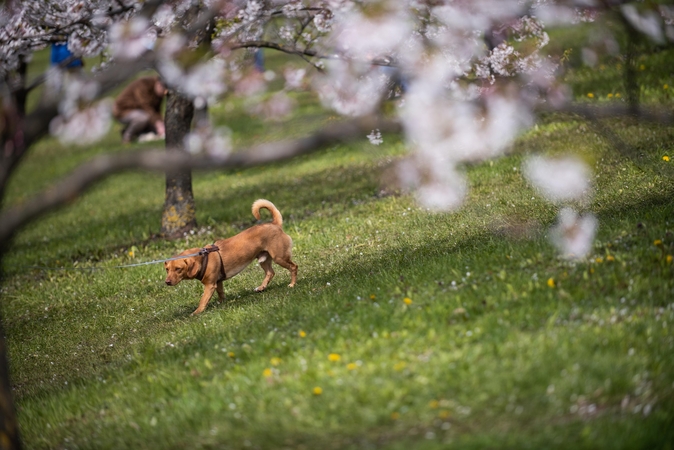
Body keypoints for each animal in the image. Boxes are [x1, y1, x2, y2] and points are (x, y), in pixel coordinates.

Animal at [164, 199, 296, 314]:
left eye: (178, 269)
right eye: (167, 269)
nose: (167, 282)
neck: (203, 258)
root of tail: (275, 224)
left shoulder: (210, 285)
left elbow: (203, 301)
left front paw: (196, 313)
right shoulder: (218, 282)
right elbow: (221, 294)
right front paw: (222, 303)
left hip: (279, 257)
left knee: (294, 267)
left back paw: (292, 284)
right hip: (263, 260)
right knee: (270, 273)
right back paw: (261, 287)